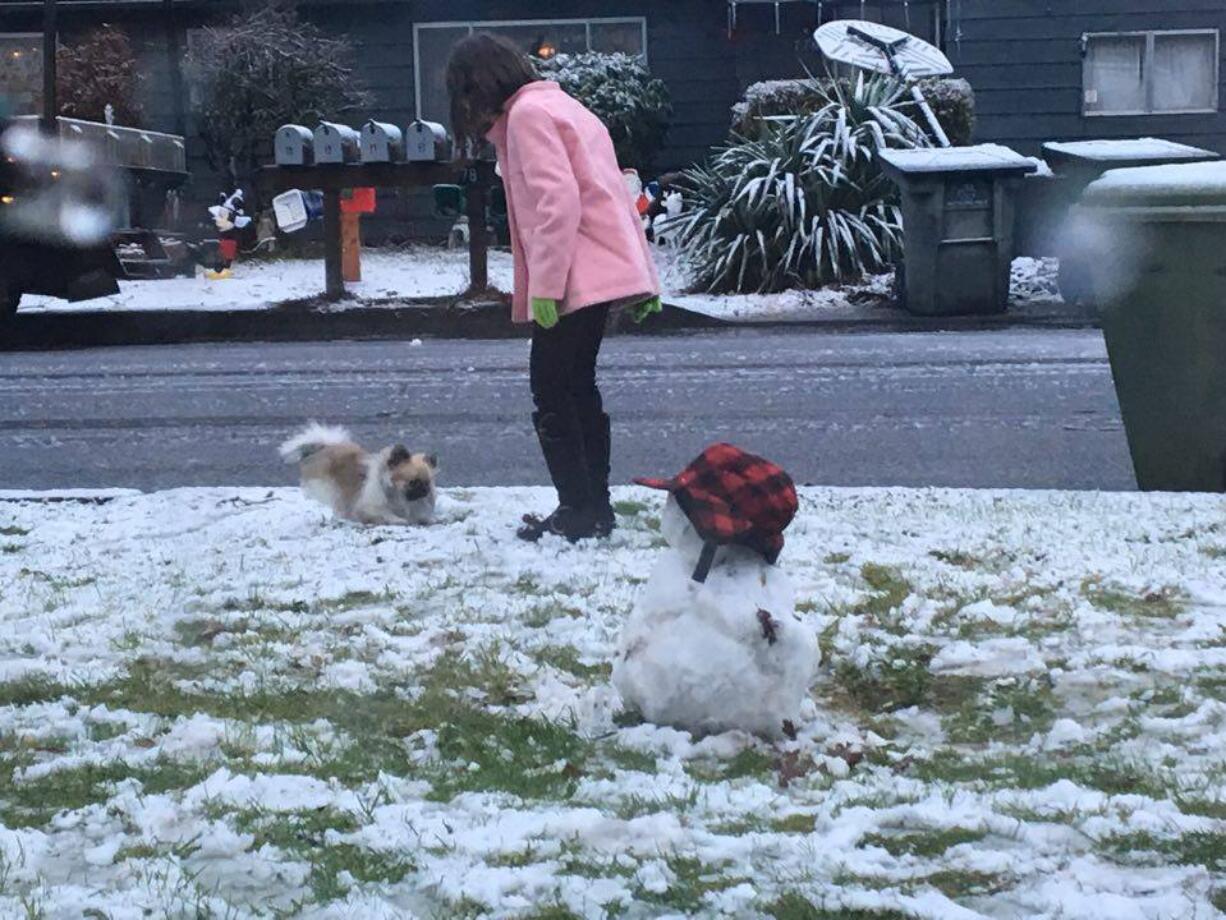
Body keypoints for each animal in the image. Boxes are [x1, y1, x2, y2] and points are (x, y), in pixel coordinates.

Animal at [277, 424, 436, 525]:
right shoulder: (369, 505)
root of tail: (325, 447)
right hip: (333, 489)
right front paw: (397, 519)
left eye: (427, 482)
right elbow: (384, 513)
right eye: (413, 482)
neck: (398, 495)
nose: (425, 490)